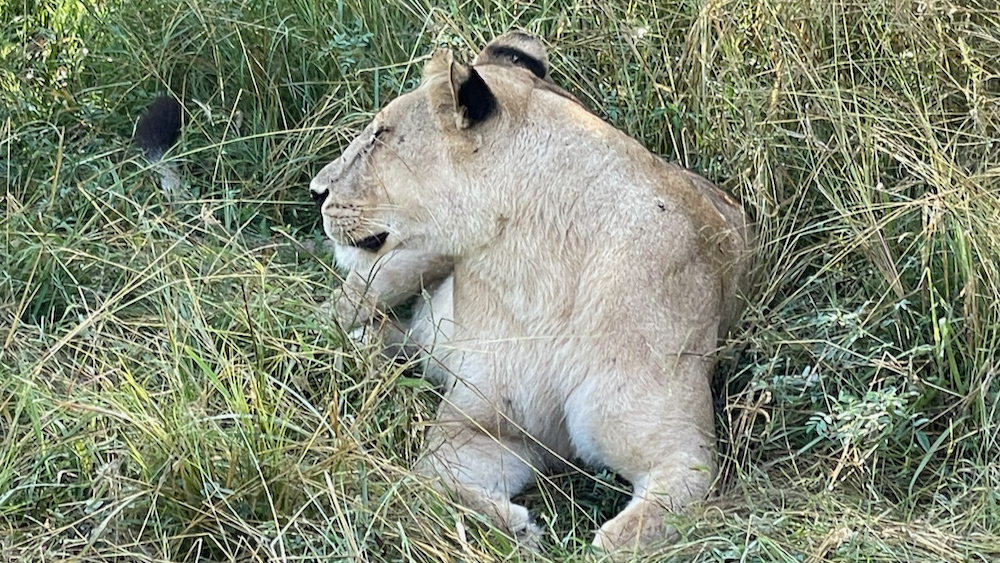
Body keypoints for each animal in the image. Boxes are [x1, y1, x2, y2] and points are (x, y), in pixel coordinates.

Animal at [311, 33, 753, 555]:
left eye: (379, 136)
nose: (316, 191)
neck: (536, 270)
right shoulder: (480, 428)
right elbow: (430, 480)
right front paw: (515, 529)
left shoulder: (685, 455)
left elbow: (623, 540)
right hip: (404, 261)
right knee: (338, 318)